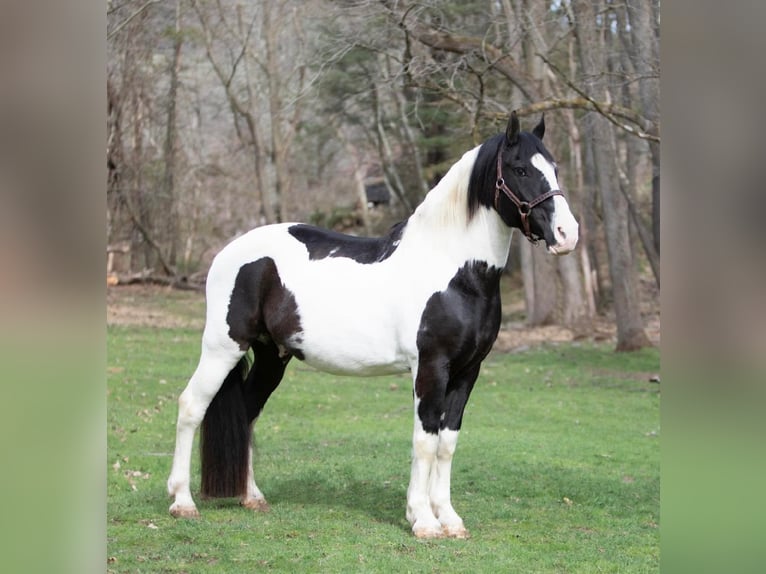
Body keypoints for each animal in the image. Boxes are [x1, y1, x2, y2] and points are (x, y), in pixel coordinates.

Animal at [166, 111, 576, 540]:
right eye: (519, 169)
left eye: (554, 168)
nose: (567, 235)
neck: (455, 271)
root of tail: (228, 252)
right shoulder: (431, 367)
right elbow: (425, 440)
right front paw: (423, 520)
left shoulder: (467, 372)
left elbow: (447, 442)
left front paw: (448, 519)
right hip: (223, 347)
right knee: (191, 406)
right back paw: (182, 502)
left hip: (271, 356)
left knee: (246, 412)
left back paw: (252, 497)